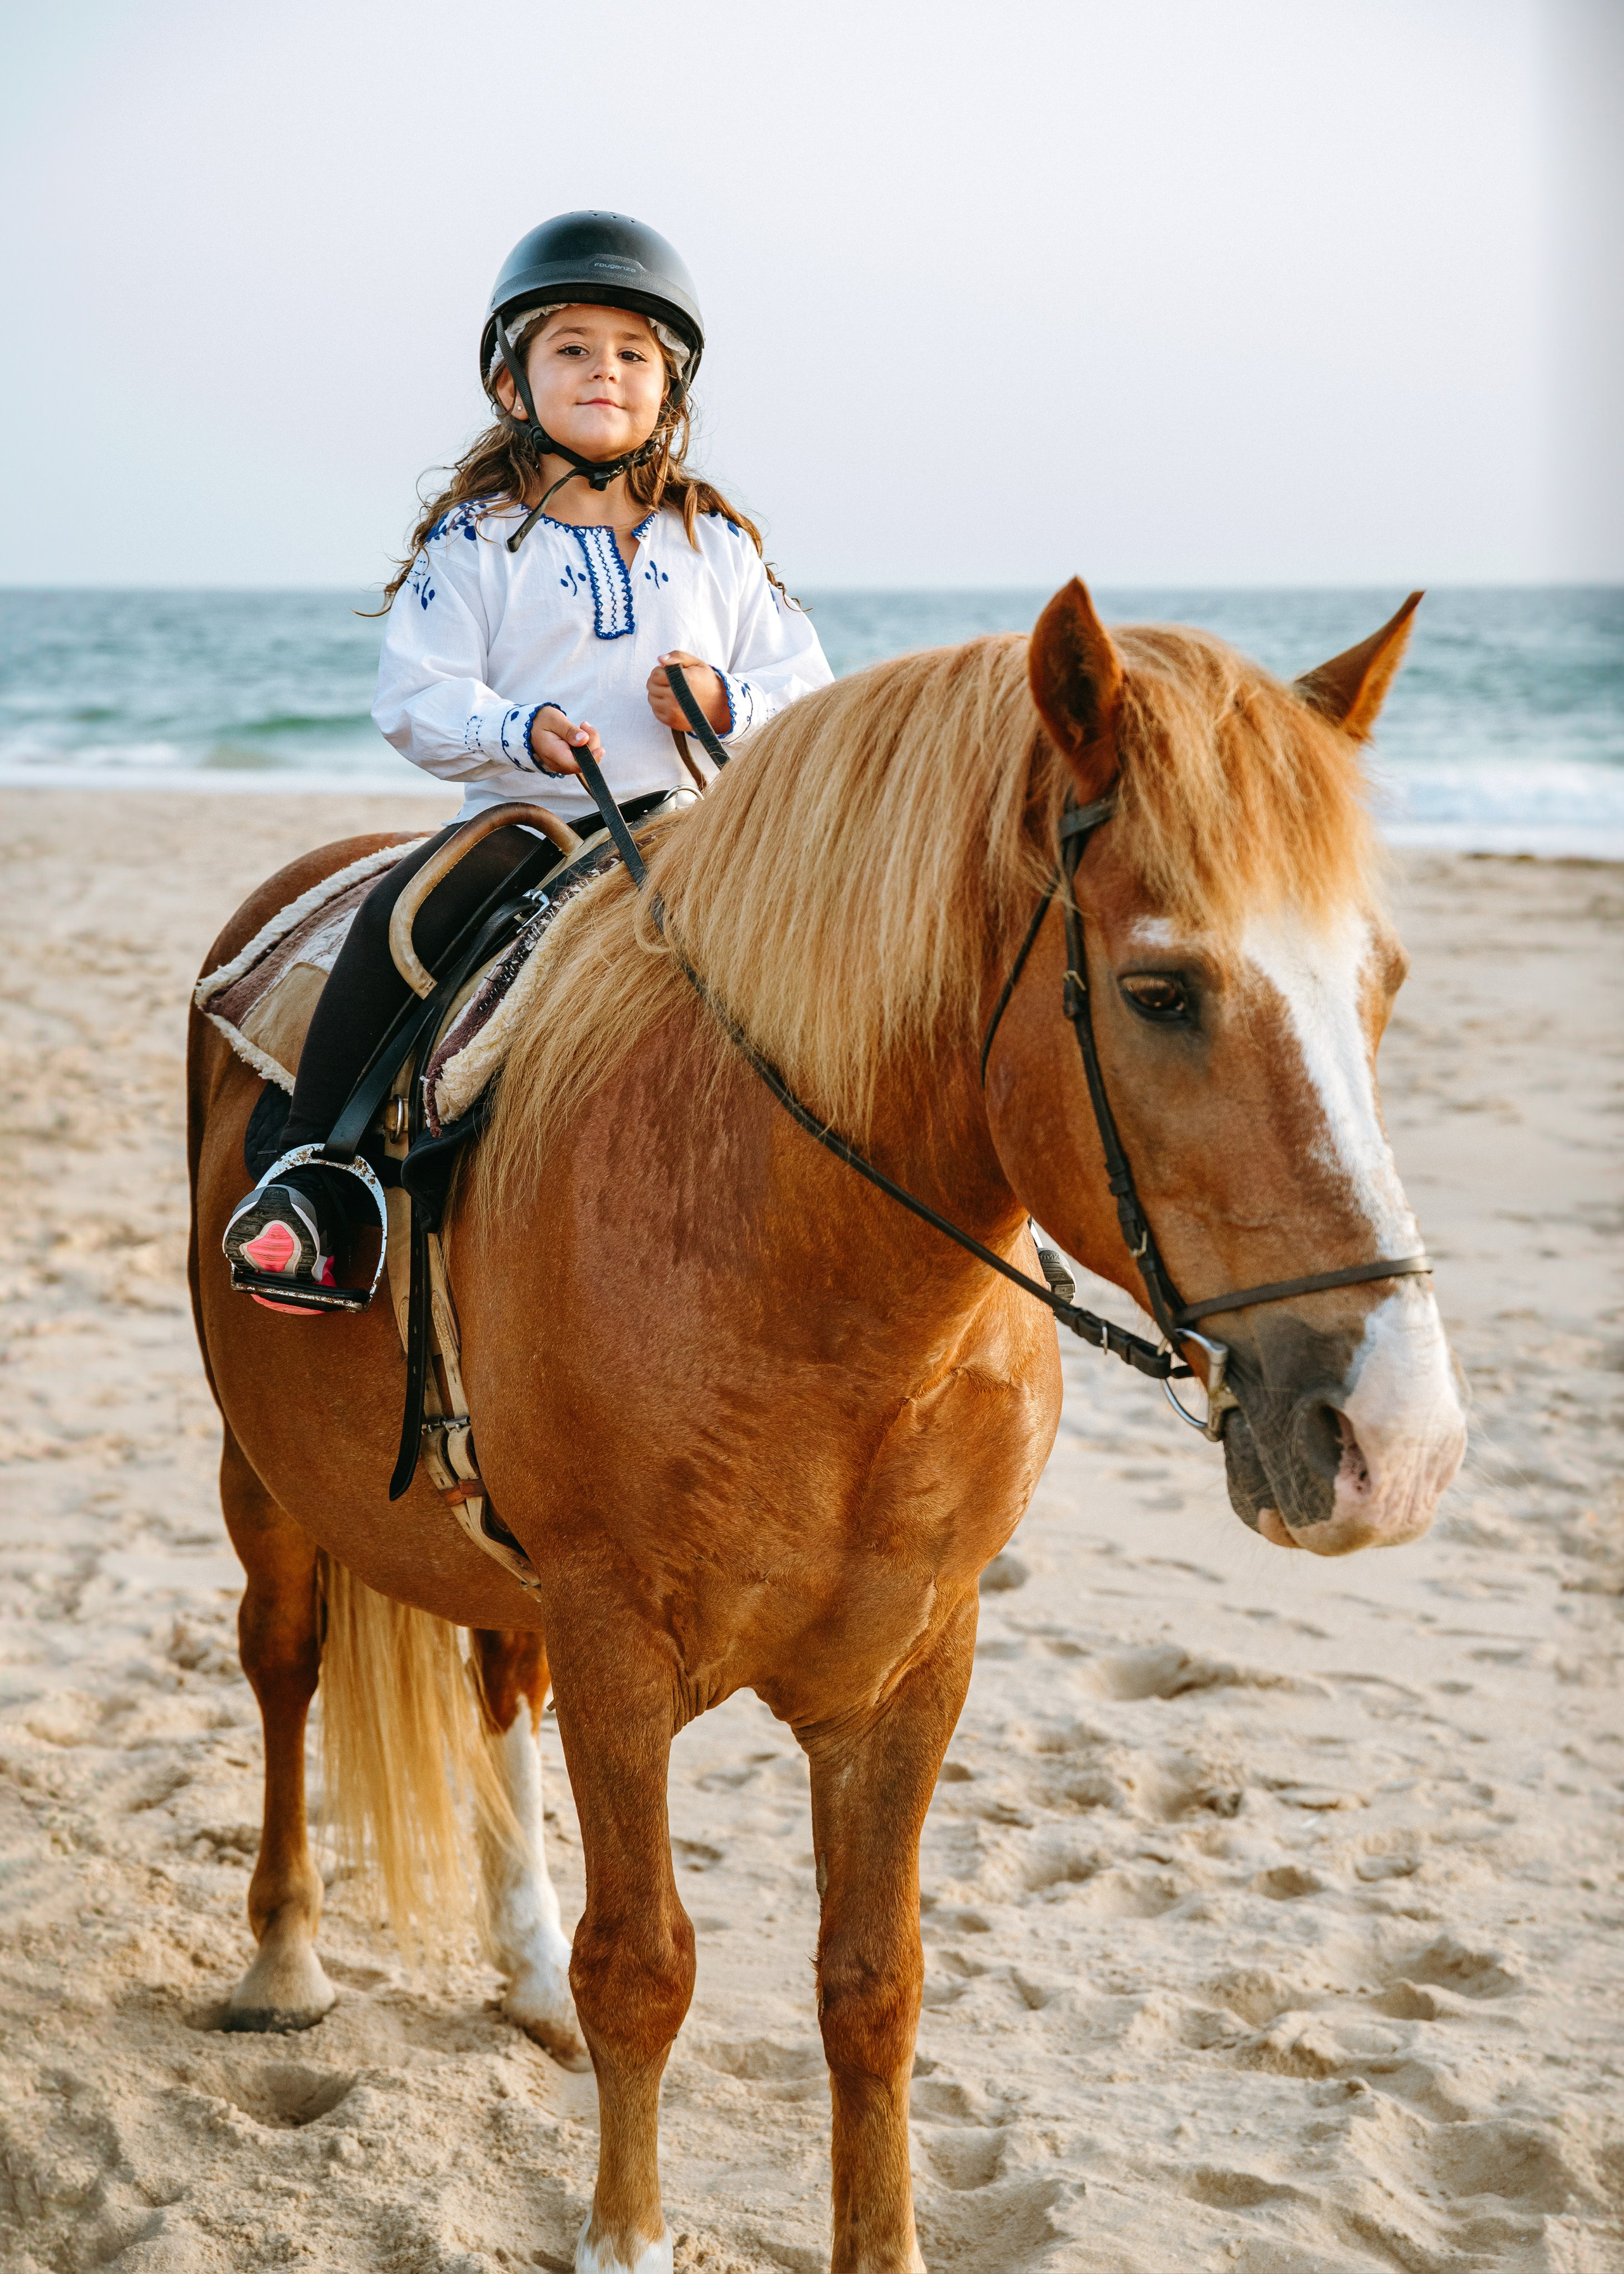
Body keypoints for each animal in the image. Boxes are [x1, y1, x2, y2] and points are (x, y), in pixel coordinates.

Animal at [186, 580, 1466, 2274]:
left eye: (1380, 983)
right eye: (1158, 992)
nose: (1394, 1441)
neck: (795, 1260)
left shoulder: (914, 1662)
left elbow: (874, 1983)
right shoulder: (617, 1642)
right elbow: (642, 1967)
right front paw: (624, 2235)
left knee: (491, 1687)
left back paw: (514, 1970)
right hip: (262, 1476)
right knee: (283, 1668)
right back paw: (283, 1962)